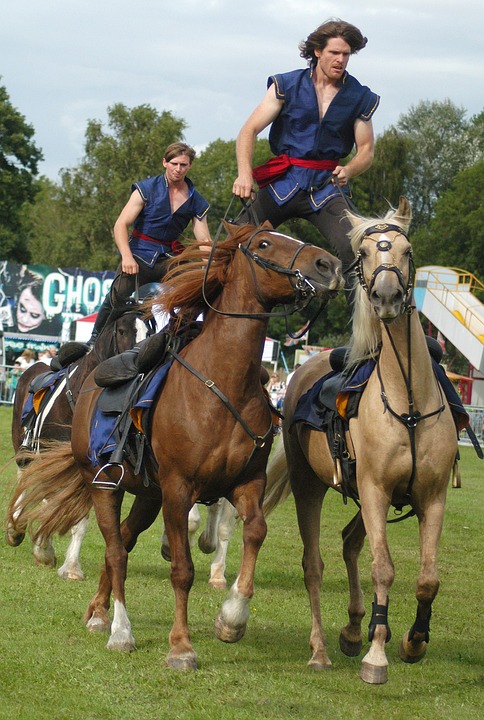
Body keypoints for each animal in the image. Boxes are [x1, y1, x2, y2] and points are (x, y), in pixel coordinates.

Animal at [6, 306, 147, 576]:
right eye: (123, 331)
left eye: (151, 330)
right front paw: (44, 549)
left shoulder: (92, 470)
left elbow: (80, 519)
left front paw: (71, 566)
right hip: (25, 449)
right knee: (24, 477)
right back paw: (14, 529)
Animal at [262, 198, 460, 688]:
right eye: (365, 254)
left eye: (406, 251)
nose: (386, 298)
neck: (408, 402)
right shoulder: (373, 489)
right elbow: (383, 569)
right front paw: (377, 655)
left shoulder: (431, 496)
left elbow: (427, 578)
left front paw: (412, 640)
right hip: (311, 486)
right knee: (315, 564)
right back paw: (323, 648)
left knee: (351, 542)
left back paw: (355, 627)